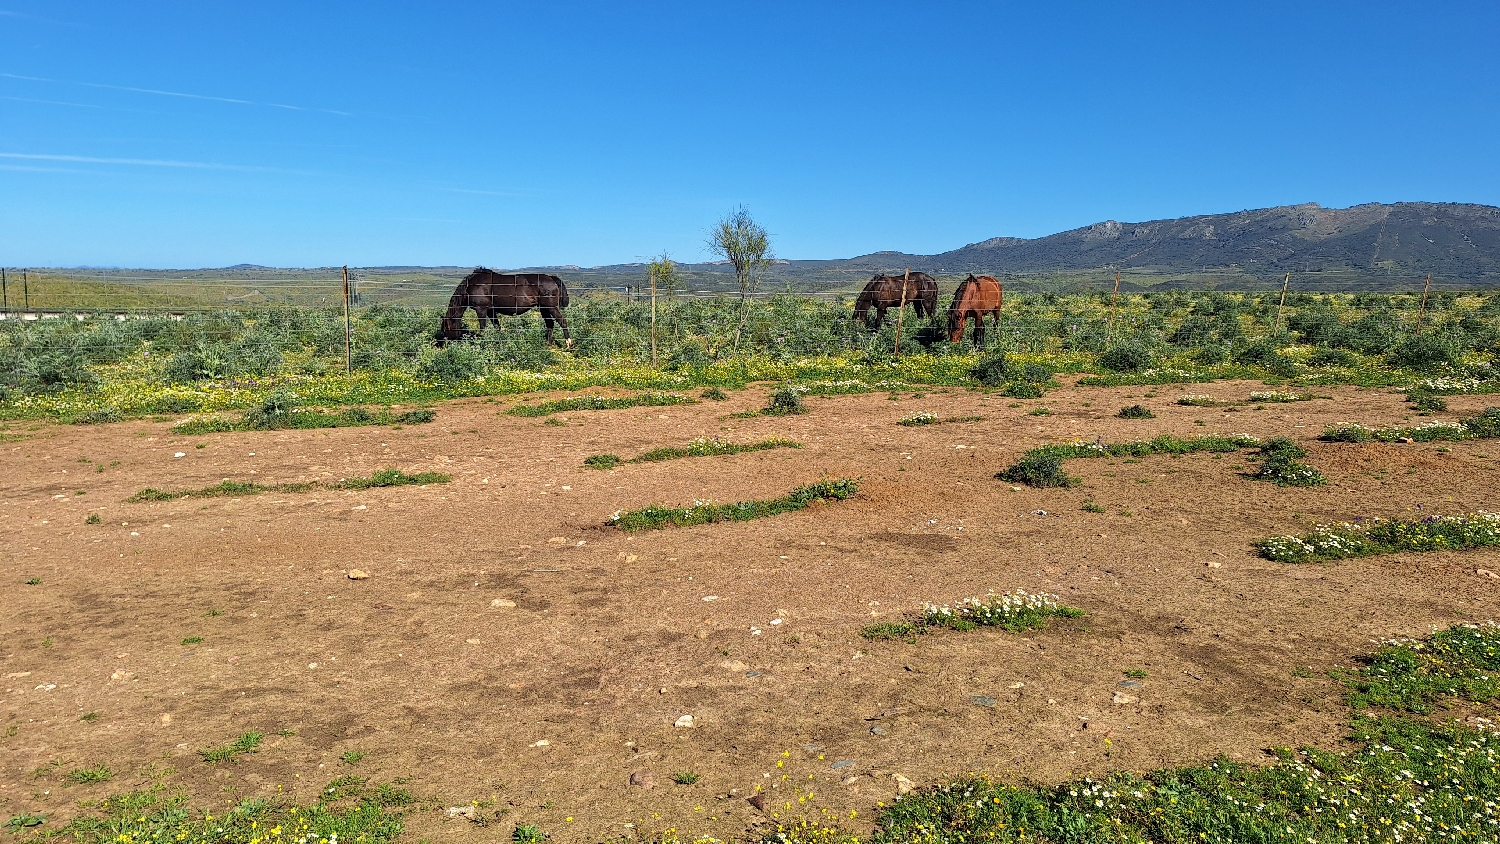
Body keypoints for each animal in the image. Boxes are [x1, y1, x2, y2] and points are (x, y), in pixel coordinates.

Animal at [438, 269, 573, 344]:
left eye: (444, 329)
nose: (443, 345)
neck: (471, 285)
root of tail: (552, 278)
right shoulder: (491, 311)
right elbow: (497, 327)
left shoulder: (481, 309)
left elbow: (483, 329)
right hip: (543, 308)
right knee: (550, 324)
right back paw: (548, 344)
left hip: (551, 307)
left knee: (562, 321)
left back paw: (568, 344)